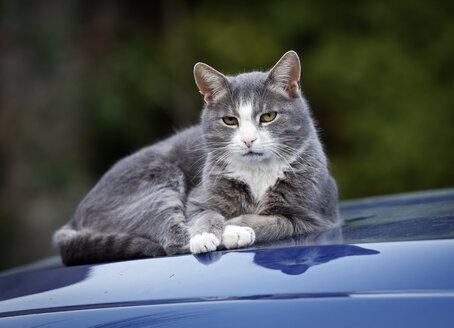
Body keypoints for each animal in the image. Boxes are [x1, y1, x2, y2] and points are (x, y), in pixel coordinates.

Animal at [53, 52, 338, 266]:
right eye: (230, 120)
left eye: (268, 116)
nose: (248, 140)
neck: (257, 172)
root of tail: (75, 218)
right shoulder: (199, 198)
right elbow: (204, 215)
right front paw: (211, 233)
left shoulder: (314, 217)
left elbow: (276, 222)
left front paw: (236, 227)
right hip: (156, 183)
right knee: (172, 240)